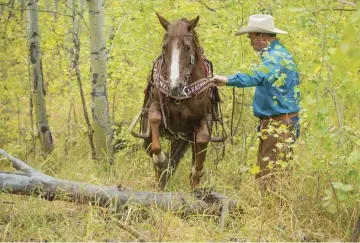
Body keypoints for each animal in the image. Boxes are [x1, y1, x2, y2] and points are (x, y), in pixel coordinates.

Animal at [131, 13, 224, 191]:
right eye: (164, 47)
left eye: (187, 47)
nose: (174, 86)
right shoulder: (155, 107)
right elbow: (155, 121)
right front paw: (161, 161)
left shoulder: (205, 118)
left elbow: (202, 141)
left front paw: (196, 176)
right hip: (150, 135)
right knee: (151, 148)